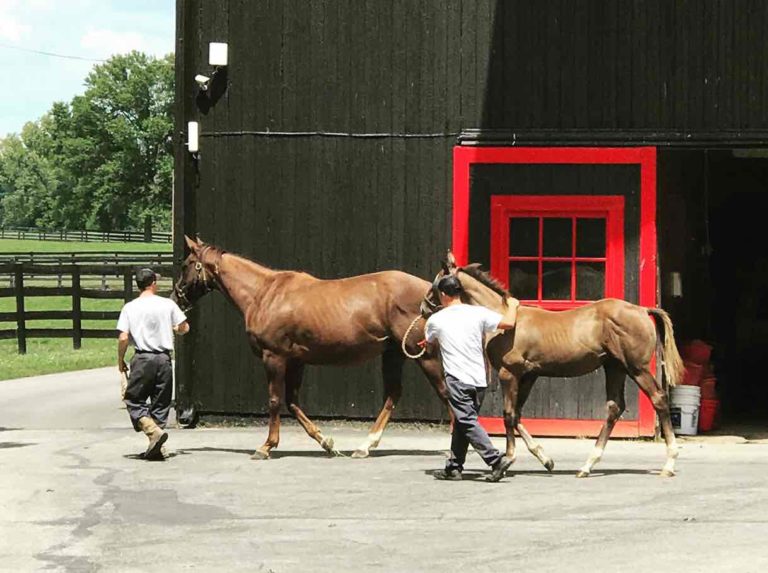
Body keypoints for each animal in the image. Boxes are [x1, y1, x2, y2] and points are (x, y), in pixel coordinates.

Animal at [172, 235, 450, 458]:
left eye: (186, 265)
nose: (176, 296)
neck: (264, 294)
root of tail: (430, 295)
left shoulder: (274, 357)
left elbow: (275, 400)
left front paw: (266, 446)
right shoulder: (296, 361)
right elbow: (292, 402)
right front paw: (326, 442)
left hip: (423, 355)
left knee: (444, 392)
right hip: (394, 354)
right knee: (393, 394)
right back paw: (364, 446)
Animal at [426, 252, 684, 476]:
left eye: (436, 284)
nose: (423, 307)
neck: (503, 318)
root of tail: (642, 310)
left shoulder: (509, 373)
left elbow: (508, 415)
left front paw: (507, 460)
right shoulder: (529, 375)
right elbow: (517, 415)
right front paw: (545, 459)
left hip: (636, 368)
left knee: (658, 398)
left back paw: (669, 464)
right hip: (615, 367)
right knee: (614, 407)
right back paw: (587, 466)